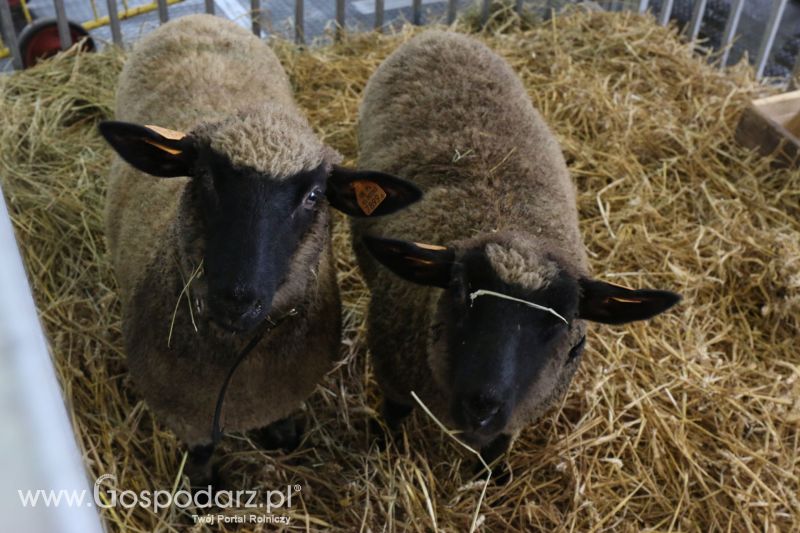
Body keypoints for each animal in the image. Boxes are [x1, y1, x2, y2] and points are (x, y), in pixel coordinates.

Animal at [99, 14, 418, 484]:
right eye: (206, 177)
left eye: (313, 196)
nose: (237, 298)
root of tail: (194, 16)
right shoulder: (186, 414)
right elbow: (201, 453)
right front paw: (203, 489)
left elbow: (281, 422)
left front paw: (283, 438)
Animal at [352, 30, 680, 470]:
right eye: (459, 293)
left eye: (564, 324)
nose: (483, 407)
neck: (509, 221)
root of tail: (441, 33)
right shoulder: (393, 378)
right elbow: (392, 415)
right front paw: (382, 447)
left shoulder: (518, 416)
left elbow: (495, 448)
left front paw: (487, 476)